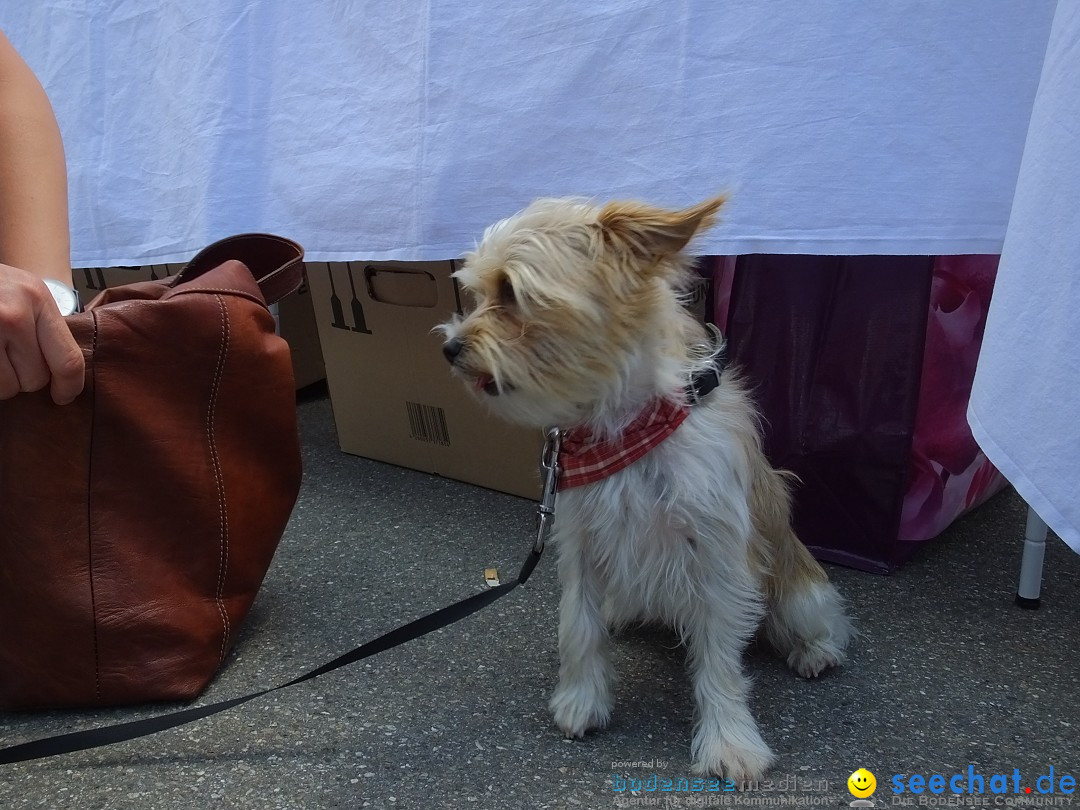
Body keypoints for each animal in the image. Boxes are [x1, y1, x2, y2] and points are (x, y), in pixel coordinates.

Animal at [436, 193, 851, 781]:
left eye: (512, 292)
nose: (450, 348)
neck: (626, 429)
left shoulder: (718, 562)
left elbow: (720, 665)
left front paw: (730, 740)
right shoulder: (581, 546)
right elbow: (578, 627)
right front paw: (582, 701)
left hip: (799, 593)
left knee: (822, 620)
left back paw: (815, 651)